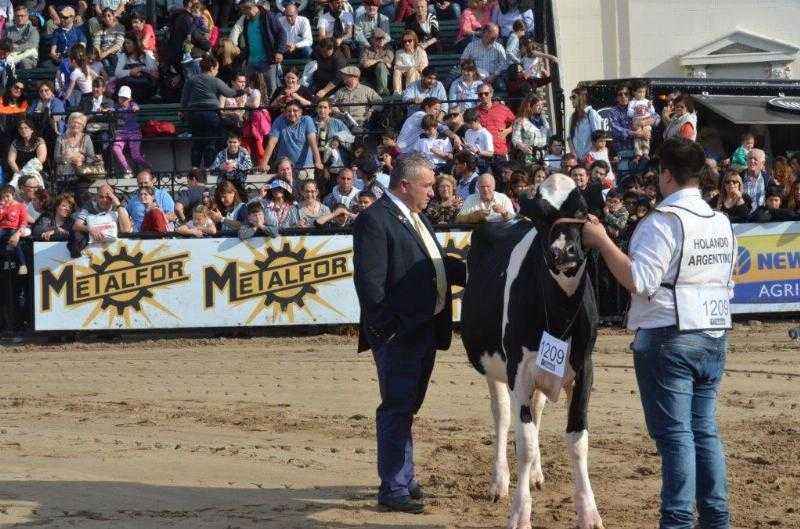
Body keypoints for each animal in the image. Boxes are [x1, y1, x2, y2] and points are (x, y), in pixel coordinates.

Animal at [460, 174, 604, 528]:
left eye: (581, 210)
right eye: (540, 217)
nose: (562, 251)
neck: (560, 310)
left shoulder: (585, 367)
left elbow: (578, 440)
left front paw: (589, 512)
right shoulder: (519, 368)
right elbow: (523, 441)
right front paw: (519, 513)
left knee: (536, 411)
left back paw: (537, 475)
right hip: (495, 368)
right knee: (502, 416)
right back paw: (499, 482)